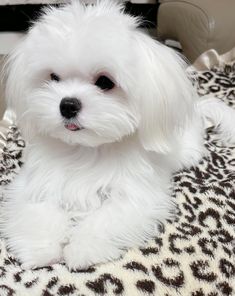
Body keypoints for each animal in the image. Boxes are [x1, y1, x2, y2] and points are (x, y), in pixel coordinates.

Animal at [0, 0, 234, 270]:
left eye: (105, 82)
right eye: (53, 78)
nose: (67, 105)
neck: (85, 149)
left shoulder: (135, 196)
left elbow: (107, 218)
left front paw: (81, 248)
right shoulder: (37, 183)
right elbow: (37, 208)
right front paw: (41, 248)